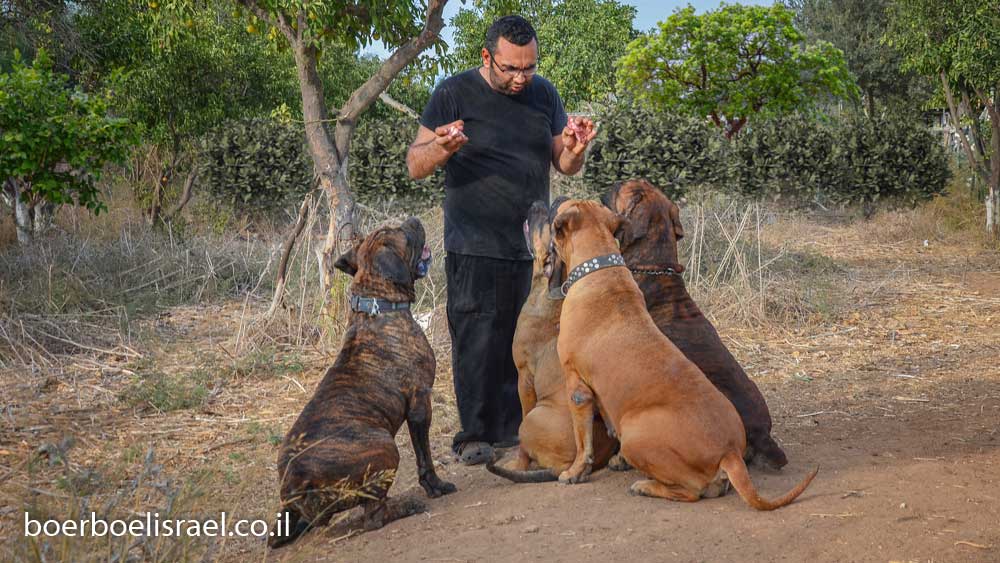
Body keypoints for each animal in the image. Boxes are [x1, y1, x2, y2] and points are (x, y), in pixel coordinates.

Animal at [266, 217, 454, 552]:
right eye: (402, 233)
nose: (414, 220)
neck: (378, 304)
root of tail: (296, 482)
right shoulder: (420, 403)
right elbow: (424, 456)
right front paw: (435, 486)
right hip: (385, 447)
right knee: (374, 516)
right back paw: (406, 506)